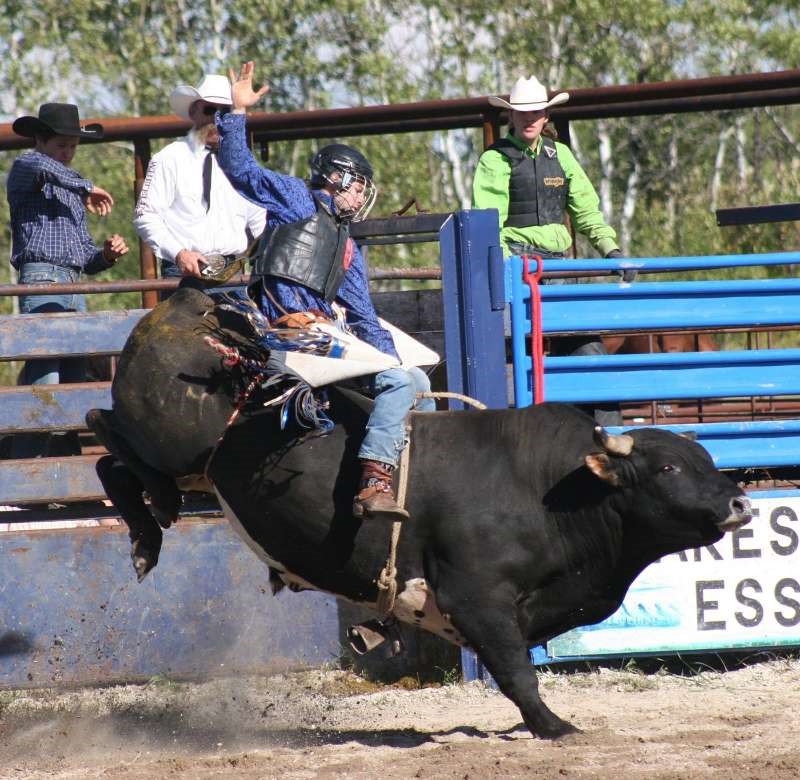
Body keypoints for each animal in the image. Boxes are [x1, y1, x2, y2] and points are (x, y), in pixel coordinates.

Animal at [86, 290, 752, 740]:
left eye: (706, 459)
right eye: (667, 469)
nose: (739, 504)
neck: (547, 487)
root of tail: (192, 304)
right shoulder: (477, 598)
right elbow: (517, 671)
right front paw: (554, 726)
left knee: (110, 450)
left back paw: (148, 532)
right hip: (173, 442)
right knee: (107, 442)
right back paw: (150, 526)